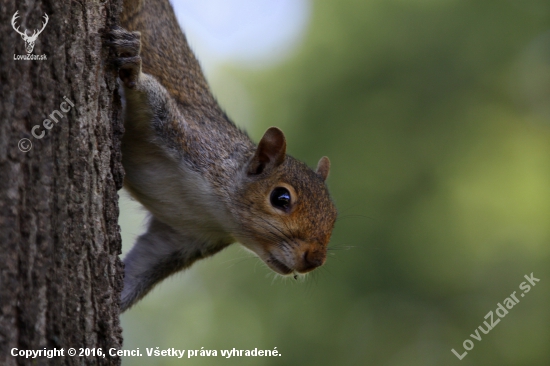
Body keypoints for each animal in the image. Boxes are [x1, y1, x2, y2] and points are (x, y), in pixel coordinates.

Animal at [110, 0, 338, 312]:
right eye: (281, 198)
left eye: (334, 215)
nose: (314, 260)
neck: (216, 212)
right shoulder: (191, 138)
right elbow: (151, 95)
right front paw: (134, 71)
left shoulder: (180, 237)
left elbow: (144, 265)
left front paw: (114, 300)